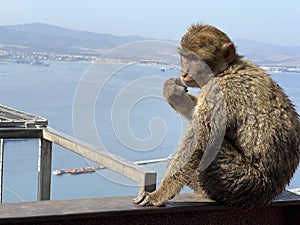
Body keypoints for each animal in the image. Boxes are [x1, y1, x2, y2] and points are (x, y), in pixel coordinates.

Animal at [134, 23, 300, 208]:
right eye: (185, 58)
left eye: (194, 59)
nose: (184, 73)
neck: (225, 69)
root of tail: (268, 195)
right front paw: (174, 93)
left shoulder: (218, 91)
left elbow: (200, 141)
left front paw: (159, 194)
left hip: (239, 181)